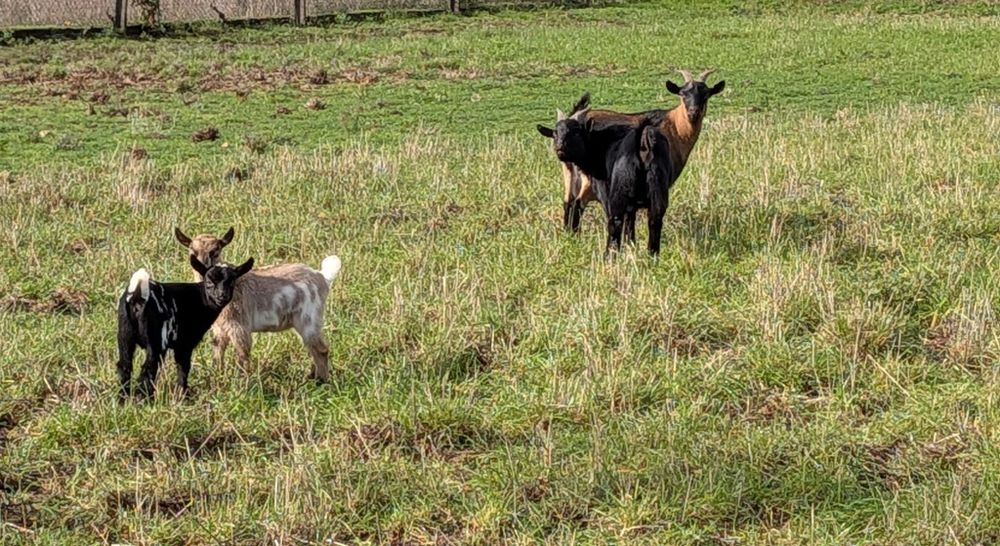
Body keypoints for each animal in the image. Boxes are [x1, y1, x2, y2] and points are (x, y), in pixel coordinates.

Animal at [116, 256, 254, 400]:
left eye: (232, 282)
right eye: (209, 281)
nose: (221, 296)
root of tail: (137, 296)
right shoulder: (185, 343)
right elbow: (184, 367)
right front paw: (183, 395)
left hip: (124, 334)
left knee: (124, 366)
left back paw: (123, 398)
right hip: (156, 340)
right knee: (149, 368)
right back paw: (146, 399)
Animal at [174, 227, 342, 382]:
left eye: (215, 251)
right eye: (192, 250)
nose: (202, 267)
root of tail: (322, 277)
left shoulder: (239, 326)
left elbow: (242, 356)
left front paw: (243, 384)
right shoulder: (219, 329)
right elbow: (218, 354)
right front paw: (218, 378)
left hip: (309, 317)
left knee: (321, 349)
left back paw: (322, 382)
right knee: (312, 348)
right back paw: (312, 377)